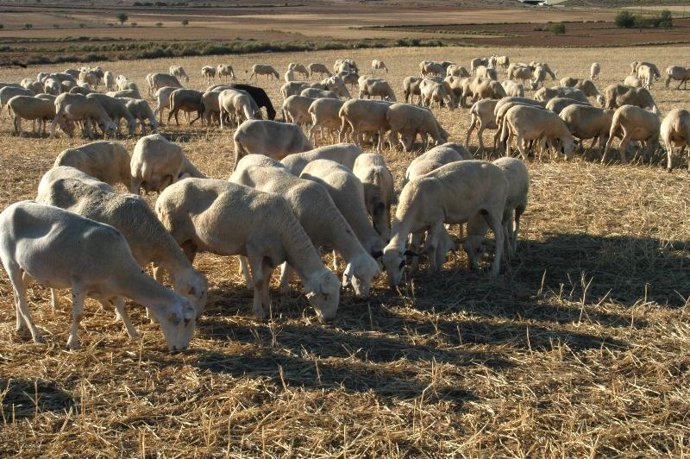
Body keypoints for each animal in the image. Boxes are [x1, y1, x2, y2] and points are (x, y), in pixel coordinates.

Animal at [0, 201, 196, 351]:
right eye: (185, 321)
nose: (183, 349)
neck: (121, 267)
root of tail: (9, 209)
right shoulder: (79, 282)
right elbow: (78, 315)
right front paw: (72, 343)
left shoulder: (111, 287)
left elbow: (122, 308)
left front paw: (134, 334)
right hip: (10, 262)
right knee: (22, 301)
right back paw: (36, 334)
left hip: (29, 268)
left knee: (18, 296)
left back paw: (20, 327)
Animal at [156, 178, 340, 319]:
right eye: (325, 295)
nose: (329, 319)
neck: (285, 230)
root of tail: (163, 195)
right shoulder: (255, 250)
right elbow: (258, 280)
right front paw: (258, 312)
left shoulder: (270, 255)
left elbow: (266, 279)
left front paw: (268, 305)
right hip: (171, 231)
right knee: (157, 266)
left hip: (189, 242)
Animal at [230, 159, 380, 297]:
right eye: (358, 277)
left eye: (372, 277)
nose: (363, 296)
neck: (326, 216)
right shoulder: (296, 236)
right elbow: (290, 265)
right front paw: (284, 285)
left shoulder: (314, 241)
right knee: (241, 256)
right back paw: (248, 281)